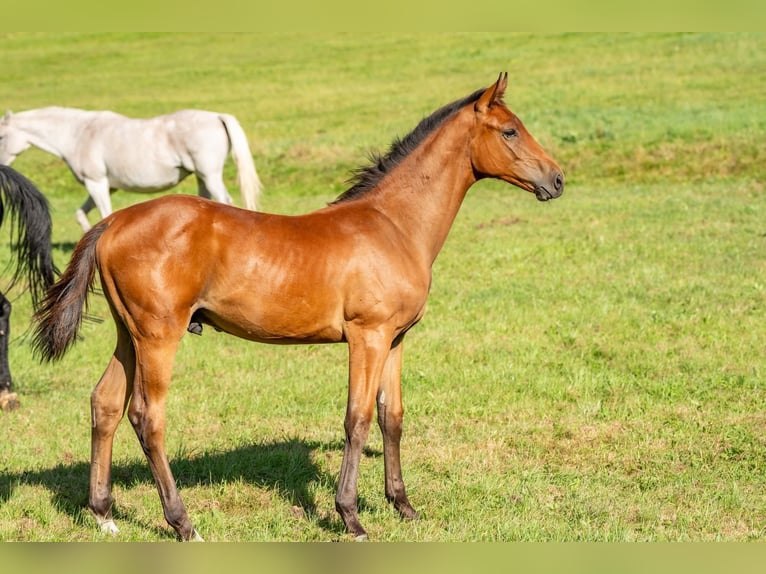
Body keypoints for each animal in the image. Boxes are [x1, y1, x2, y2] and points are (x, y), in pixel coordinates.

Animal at [0, 107, 264, 233]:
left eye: (1, 136)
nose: (2, 165)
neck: (80, 134)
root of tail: (216, 117)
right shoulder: (106, 187)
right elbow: (81, 214)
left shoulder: (97, 183)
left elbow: (104, 214)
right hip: (202, 178)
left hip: (210, 175)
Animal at [31, 74, 564, 544]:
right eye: (510, 130)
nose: (557, 180)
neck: (394, 225)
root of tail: (115, 221)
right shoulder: (367, 337)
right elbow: (357, 418)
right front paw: (350, 517)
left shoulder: (395, 339)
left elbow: (392, 416)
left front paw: (404, 507)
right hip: (159, 336)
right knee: (147, 416)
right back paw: (183, 524)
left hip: (129, 335)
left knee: (105, 403)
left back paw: (104, 515)